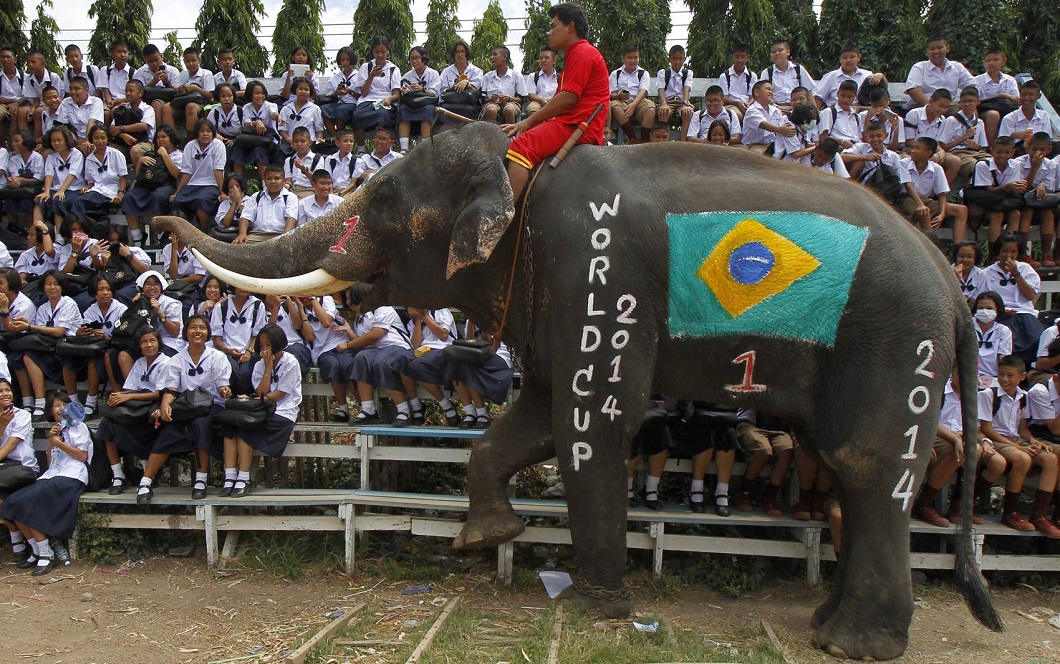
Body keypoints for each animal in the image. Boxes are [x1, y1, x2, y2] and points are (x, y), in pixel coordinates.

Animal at [153, 123, 996, 657]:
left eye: (387, 201)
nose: (164, 217)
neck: (520, 163)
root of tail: (953, 291)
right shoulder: (553, 296)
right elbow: (535, 416)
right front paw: (486, 539)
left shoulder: (598, 276)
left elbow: (592, 422)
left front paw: (601, 606)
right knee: (848, 471)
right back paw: (828, 623)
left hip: (895, 346)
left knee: (867, 466)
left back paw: (853, 644)